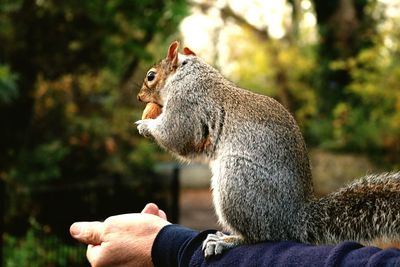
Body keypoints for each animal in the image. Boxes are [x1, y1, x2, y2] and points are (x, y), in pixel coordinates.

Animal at [135, 41, 400, 258]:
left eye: (151, 76)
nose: (138, 98)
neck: (188, 73)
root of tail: (293, 219)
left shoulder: (187, 104)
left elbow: (176, 135)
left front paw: (145, 126)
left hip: (238, 181)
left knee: (259, 236)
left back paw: (227, 240)